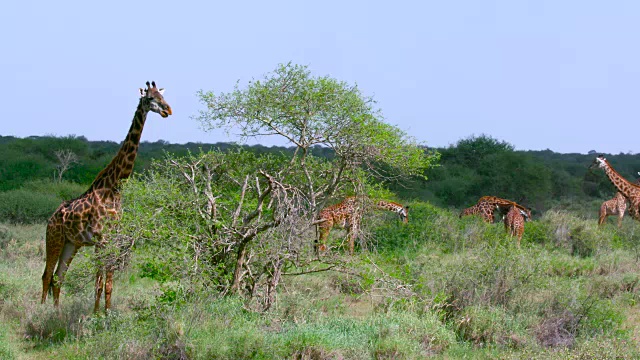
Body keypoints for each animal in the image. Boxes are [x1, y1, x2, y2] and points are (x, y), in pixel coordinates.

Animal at [42, 81, 172, 312]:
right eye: (150, 98)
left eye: (162, 96)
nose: (168, 110)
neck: (114, 188)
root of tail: (52, 217)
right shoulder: (100, 239)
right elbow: (98, 283)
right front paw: (96, 315)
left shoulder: (113, 239)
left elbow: (109, 283)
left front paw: (107, 313)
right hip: (54, 239)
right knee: (47, 276)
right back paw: (40, 310)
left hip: (71, 244)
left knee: (58, 277)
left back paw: (56, 313)